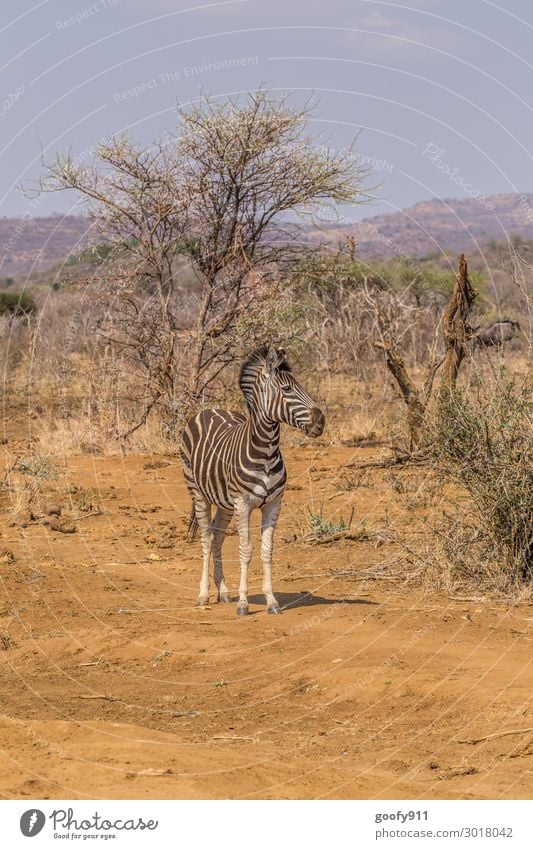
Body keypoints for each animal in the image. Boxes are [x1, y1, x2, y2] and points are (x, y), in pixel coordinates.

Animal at [180, 344, 324, 616]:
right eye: (287, 389)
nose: (321, 421)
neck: (266, 450)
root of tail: (209, 409)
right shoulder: (244, 503)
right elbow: (245, 550)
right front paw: (244, 603)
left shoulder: (273, 503)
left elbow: (267, 550)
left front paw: (271, 601)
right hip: (198, 492)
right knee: (205, 539)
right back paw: (204, 595)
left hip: (226, 504)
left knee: (216, 538)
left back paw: (224, 592)